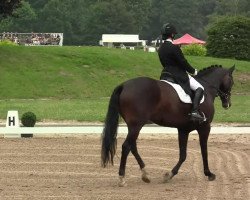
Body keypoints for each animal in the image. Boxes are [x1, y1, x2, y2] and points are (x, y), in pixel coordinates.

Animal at [100, 65, 235, 187]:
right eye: (232, 82)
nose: (227, 104)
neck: (207, 88)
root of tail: (124, 85)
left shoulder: (183, 130)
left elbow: (183, 155)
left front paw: (169, 175)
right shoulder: (205, 127)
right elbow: (204, 151)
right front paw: (209, 174)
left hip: (134, 126)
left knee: (133, 147)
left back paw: (145, 174)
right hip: (136, 126)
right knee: (126, 146)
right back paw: (122, 178)